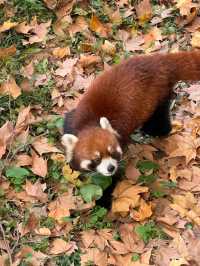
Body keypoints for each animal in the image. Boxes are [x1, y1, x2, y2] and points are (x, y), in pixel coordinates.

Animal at [61, 50, 200, 177]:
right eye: (97, 159)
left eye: (112, 153)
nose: (110, 168)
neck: (89, 123)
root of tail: (159, 61)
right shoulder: (72, 119)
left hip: (158, 95)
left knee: (160, 120)